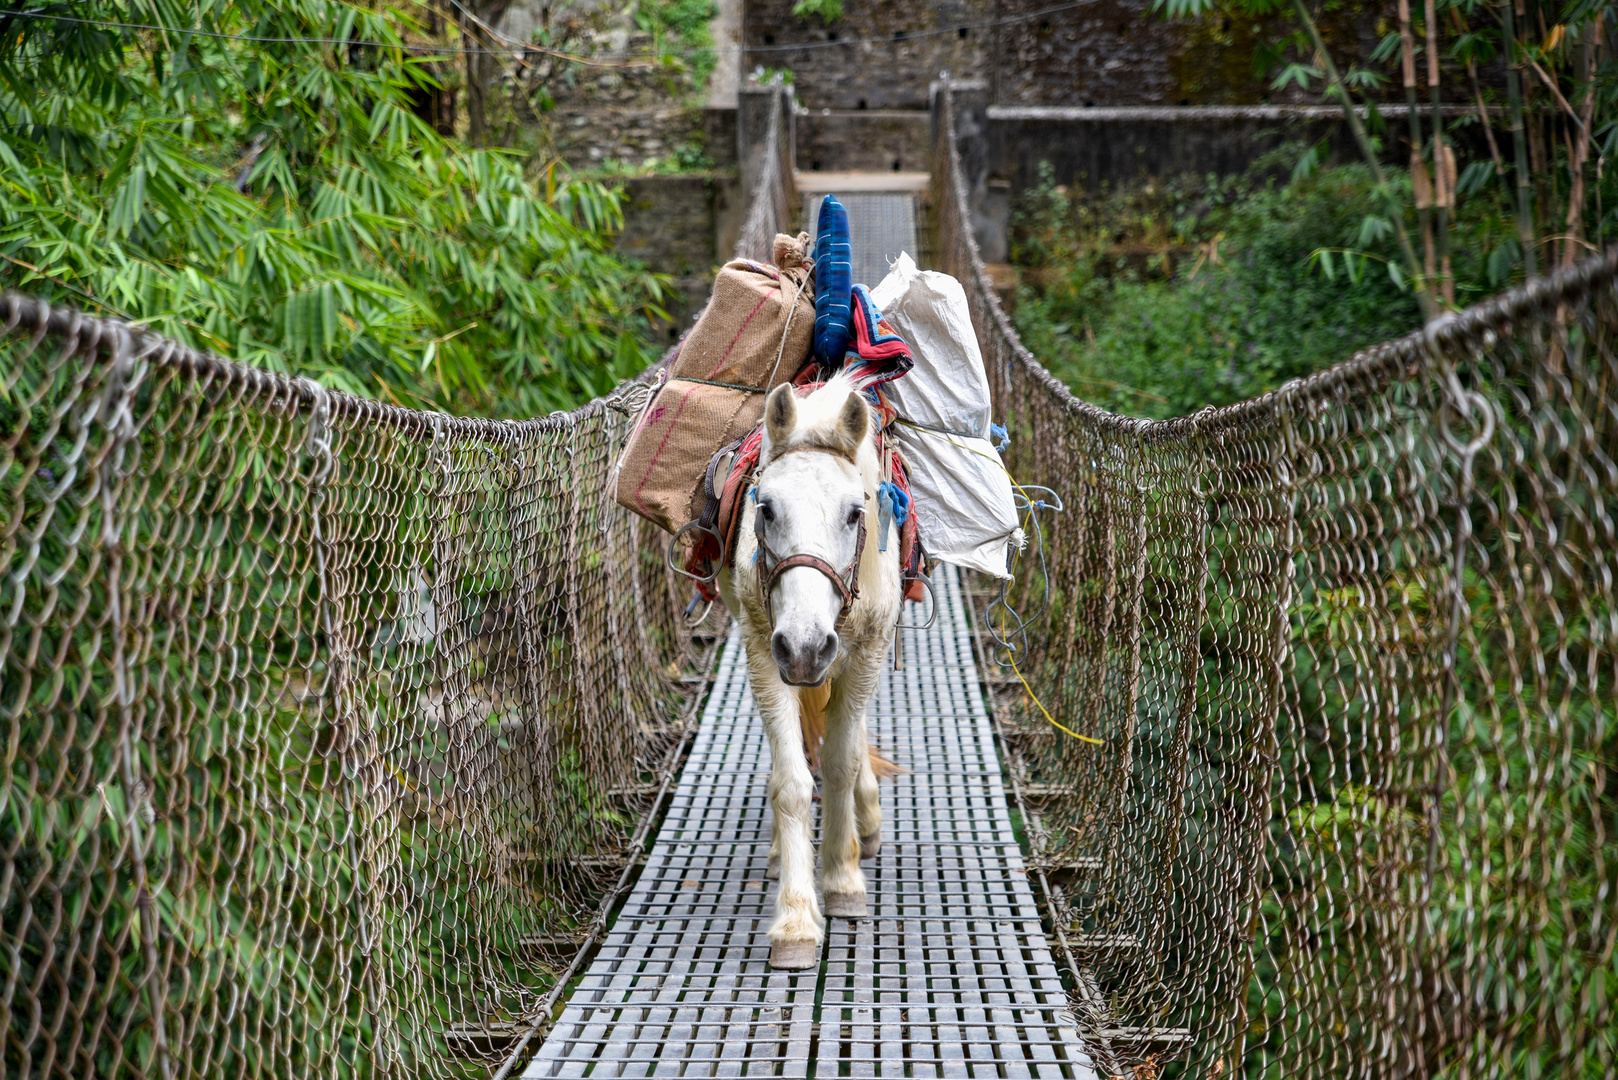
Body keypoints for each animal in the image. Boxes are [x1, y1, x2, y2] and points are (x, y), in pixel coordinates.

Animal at [718, 372, 906, 971]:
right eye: (766, 508)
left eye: (854, 512)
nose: (804, 646)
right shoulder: (764, 649)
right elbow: (793, 782)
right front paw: (797, 919)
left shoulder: (866, 652)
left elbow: (842, 763)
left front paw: (843, 879)